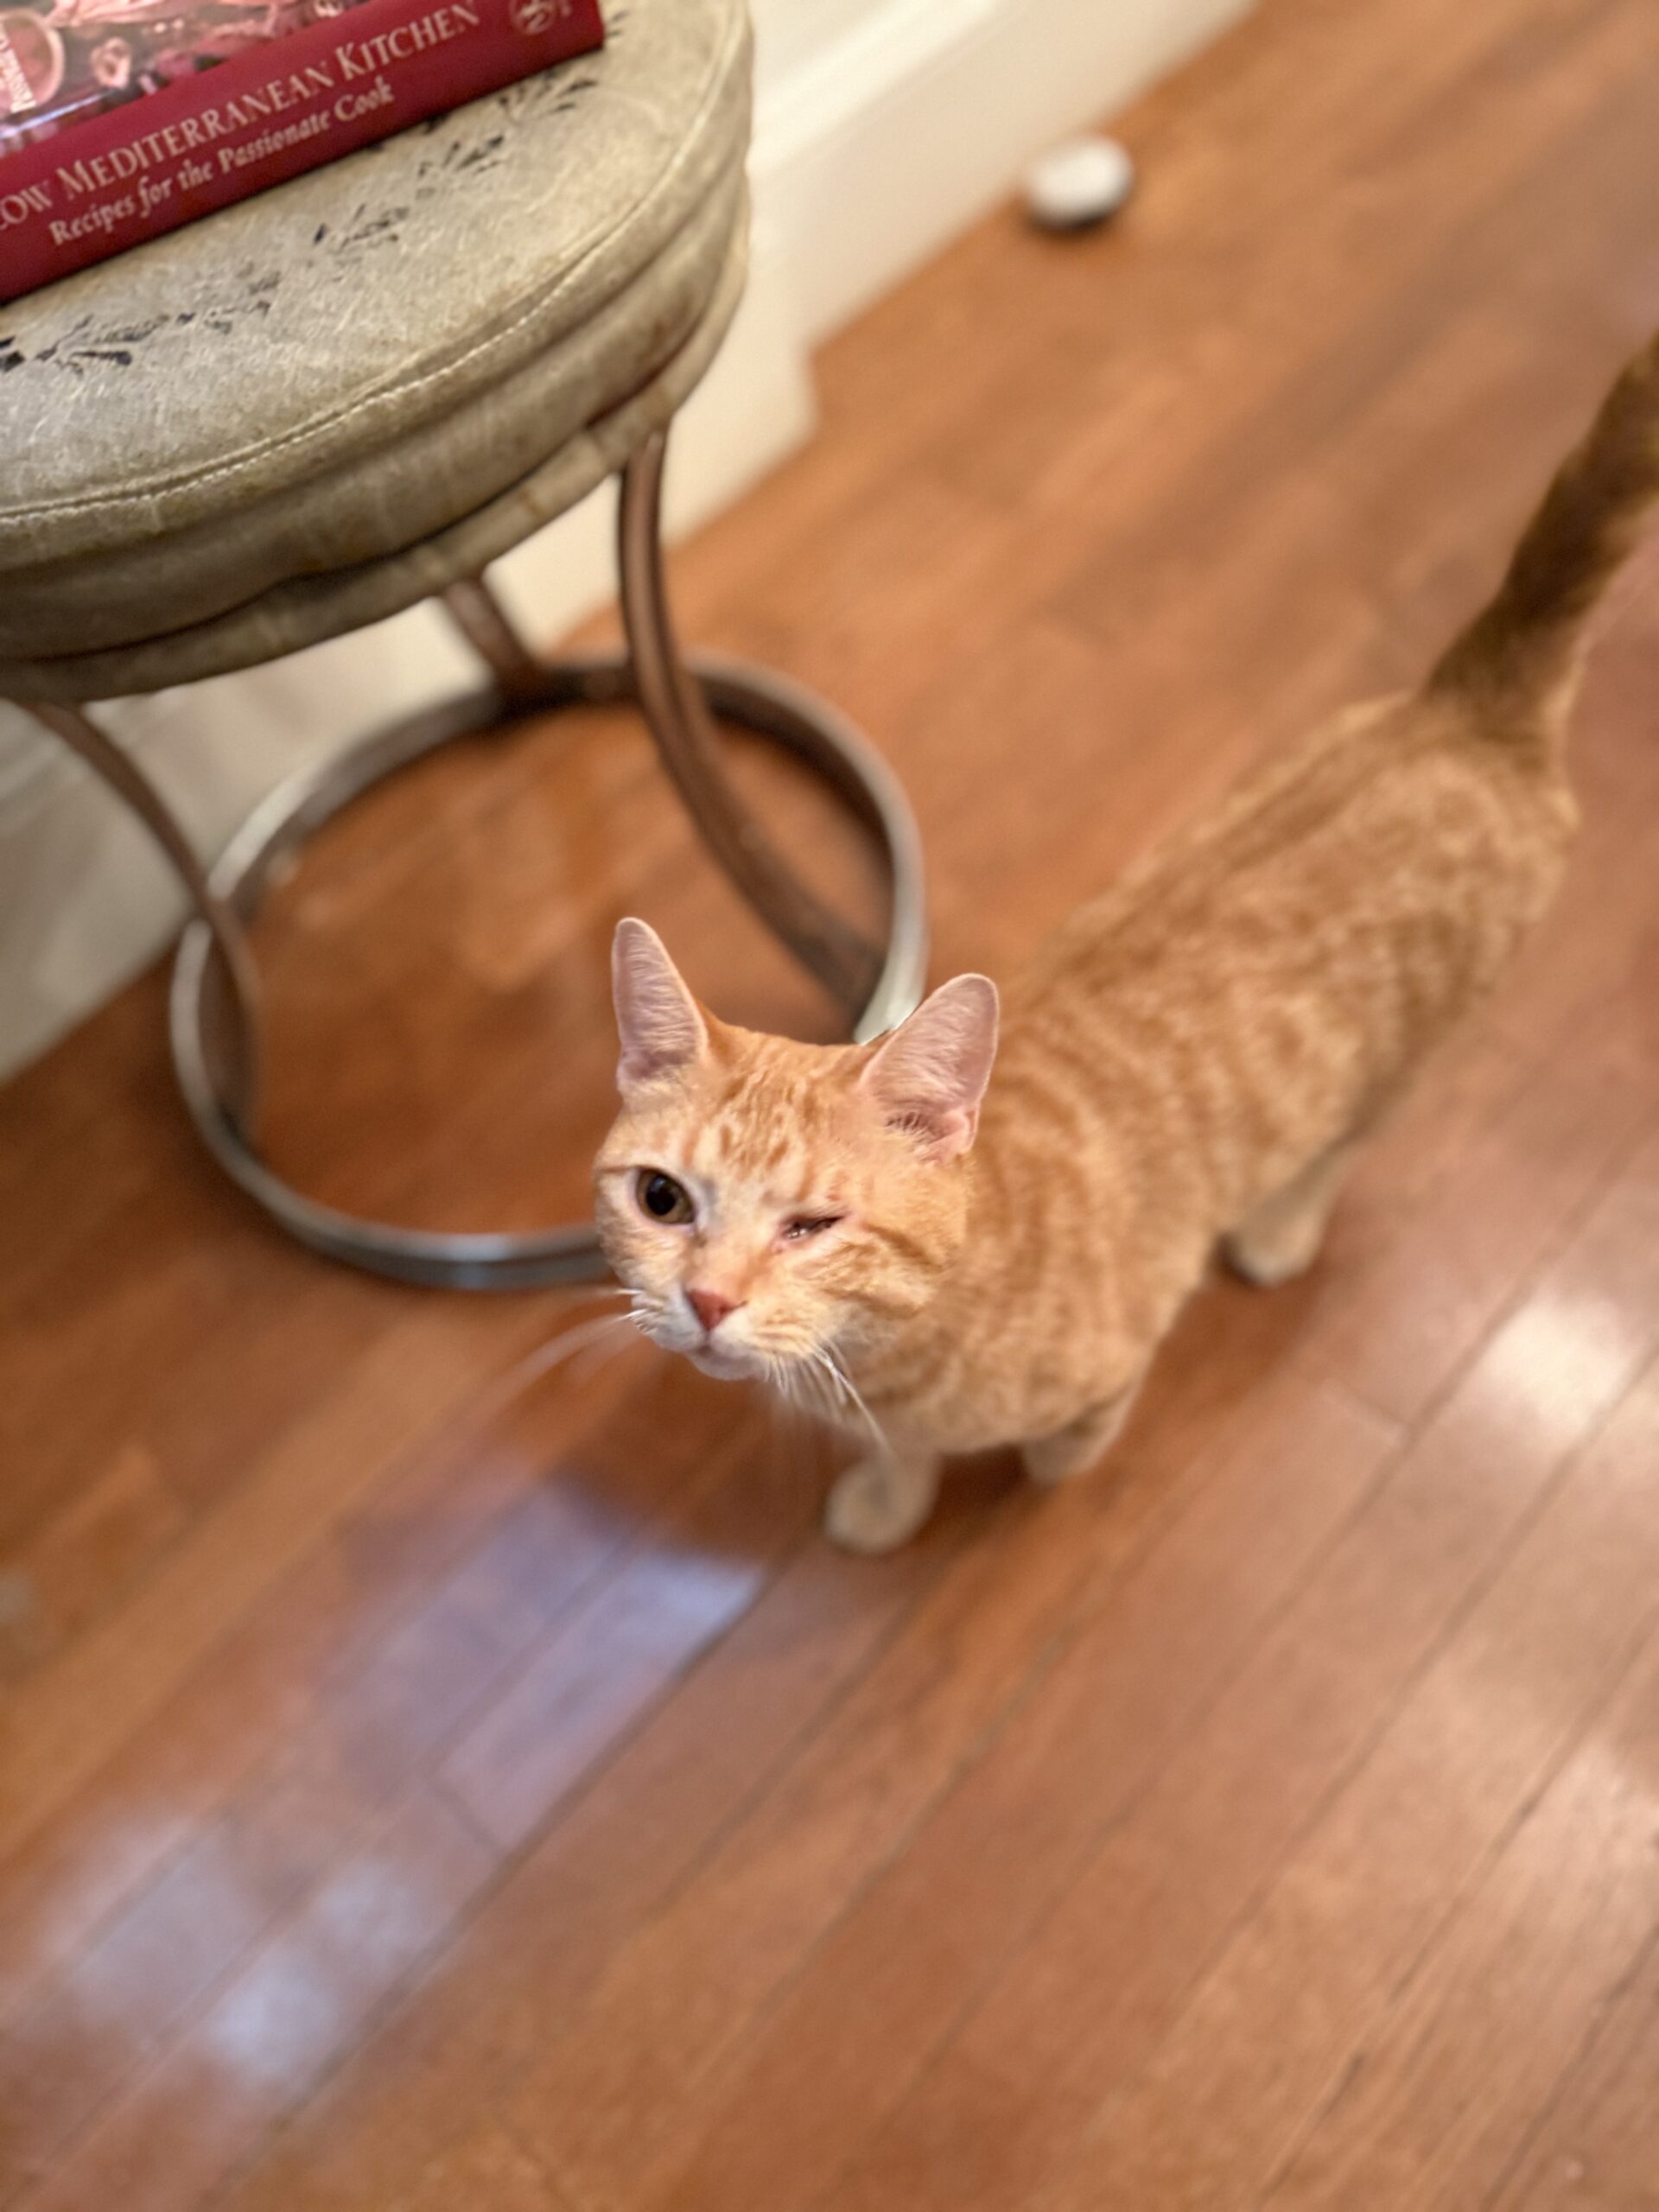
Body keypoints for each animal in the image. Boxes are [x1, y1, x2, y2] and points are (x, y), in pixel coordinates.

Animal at [594, 331, 1659, 1552]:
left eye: (814, 1224)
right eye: (662, 1200)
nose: (707, 1300)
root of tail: (1470, 705)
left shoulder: (1116, 1356)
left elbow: (1067, 1442)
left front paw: (1047, 1469)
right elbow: (900, 1452)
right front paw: (889, 1496)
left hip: (1411, 1057)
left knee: (1344, 1144)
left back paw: (1280, 1227)